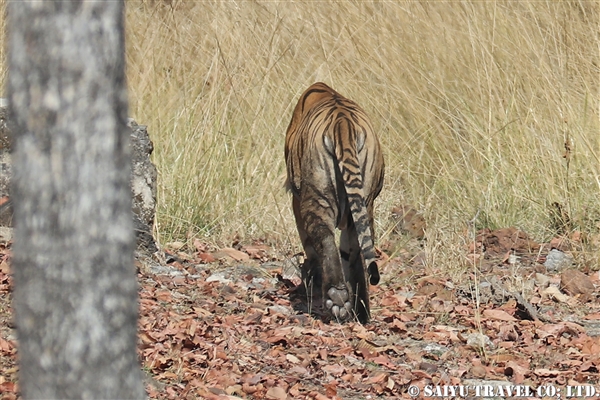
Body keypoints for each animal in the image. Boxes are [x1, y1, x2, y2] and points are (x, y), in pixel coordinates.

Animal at [284, 83, 384, 324]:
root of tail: (343, 124)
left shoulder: (296, 200)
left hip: (316, 195)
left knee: (324, 239)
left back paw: (336, 297)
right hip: (364, 203)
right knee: (358, 250)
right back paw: (361, 311)